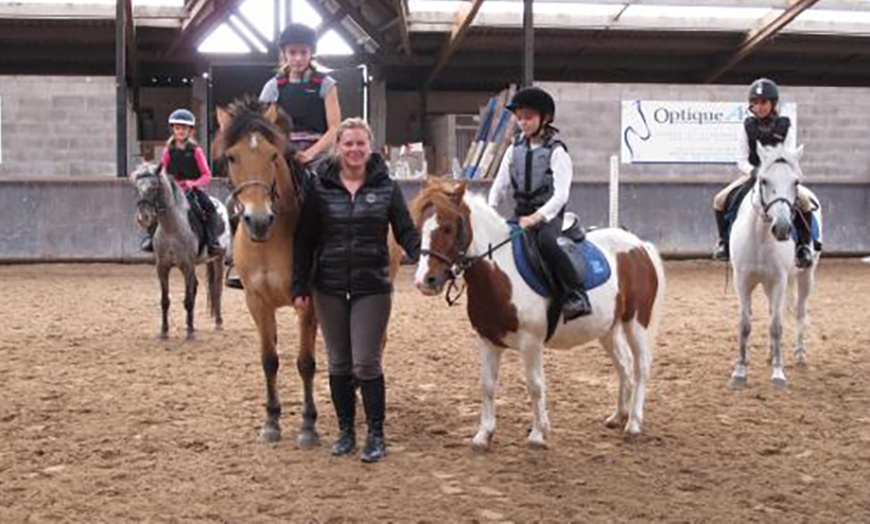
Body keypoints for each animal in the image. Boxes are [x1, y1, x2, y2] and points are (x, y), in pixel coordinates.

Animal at [416, 180, 668, 450]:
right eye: (419, 227)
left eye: (448, 228)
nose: (425, 281)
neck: (500, 274)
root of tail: (640, 245)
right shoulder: (488, 340)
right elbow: (487, 386)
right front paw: (484, 434)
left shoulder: (531, 342)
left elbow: (535, 385)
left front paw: (538, 433)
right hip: (608, 329)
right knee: (624, 367)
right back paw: (619, 416)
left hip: (637, 323)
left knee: (641, 367)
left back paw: (634, 423)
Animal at [732, 143, 820, 388]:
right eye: (764, 180)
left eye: (795, 182)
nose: (781, 228)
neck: (761, 237)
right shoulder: (742, 280)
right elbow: (745, 324)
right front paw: (740, 372)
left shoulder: (780, 280)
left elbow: (777, 326)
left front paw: (778, 373)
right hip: (766, 284)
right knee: (773, 310)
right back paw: (770, 354)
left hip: (805, 276)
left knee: (800, 311)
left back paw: (799, 353)